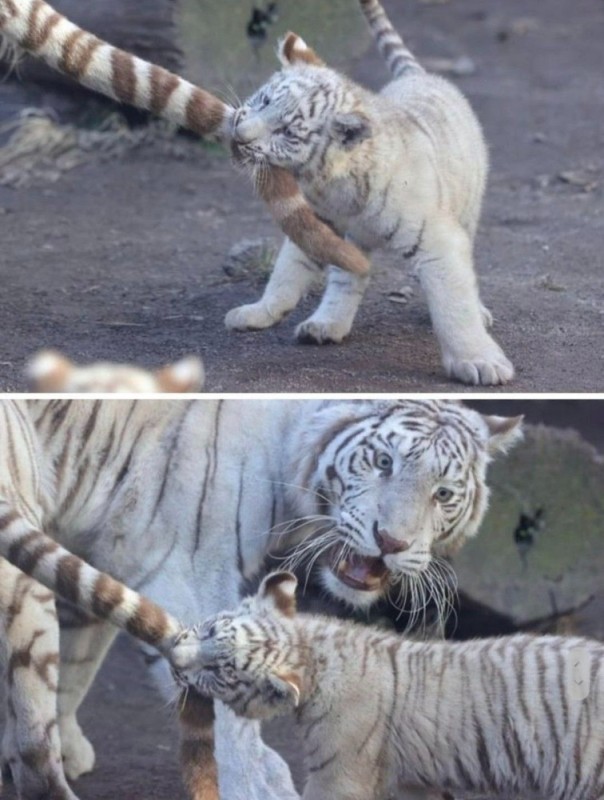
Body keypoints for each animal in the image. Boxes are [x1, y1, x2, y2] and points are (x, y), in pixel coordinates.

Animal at [0, 400, 520, 800]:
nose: (391, 541)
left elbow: (77, 661)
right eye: (383, 462)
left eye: (443, 493)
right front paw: (259, 784)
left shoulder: (100, 543)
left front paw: (69, 744)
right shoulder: (184, 566)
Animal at [226, 0, 516, 388]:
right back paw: (326, 324)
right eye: (264, 99)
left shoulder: (437, 239)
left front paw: (480, 361)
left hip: (467, 210)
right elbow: (286, 272)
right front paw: (258, 312)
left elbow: (454, 301)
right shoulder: (317, 224)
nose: (239, 134)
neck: (331, 184)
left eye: (287, 131)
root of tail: (418, 75)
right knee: (347, 278)